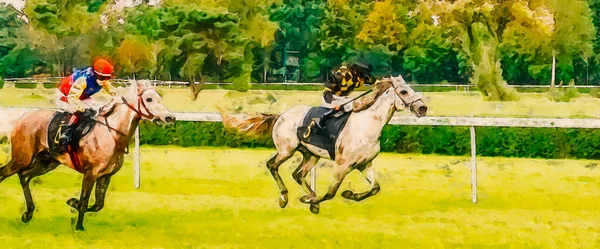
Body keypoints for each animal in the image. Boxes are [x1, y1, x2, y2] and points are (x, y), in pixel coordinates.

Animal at [0, 80, 175, 230]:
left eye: (159, 98)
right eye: (149, 99)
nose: (170, 117)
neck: (112, 134)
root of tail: (21, 118)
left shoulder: (105, 176)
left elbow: (98, 204)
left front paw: (72, 202)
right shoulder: (91, 173)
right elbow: (84, 201)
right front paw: (78, 226)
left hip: (47, 162)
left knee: (25, 176)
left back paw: (28, 212)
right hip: (22, 158)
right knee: (5, 173)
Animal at [220, 75, 426, 213]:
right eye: (404, 91)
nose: (422, 108)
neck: (366, 126)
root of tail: (281, 116)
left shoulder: (364, 163)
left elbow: (375, 188)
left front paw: (348, 195)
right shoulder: (343, 165)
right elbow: (330, 193)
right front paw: (313, 202)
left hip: (311, 154)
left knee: (298, 174)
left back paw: (308, 195)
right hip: (286, 150)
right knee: (272, 165)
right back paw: (285, 197)